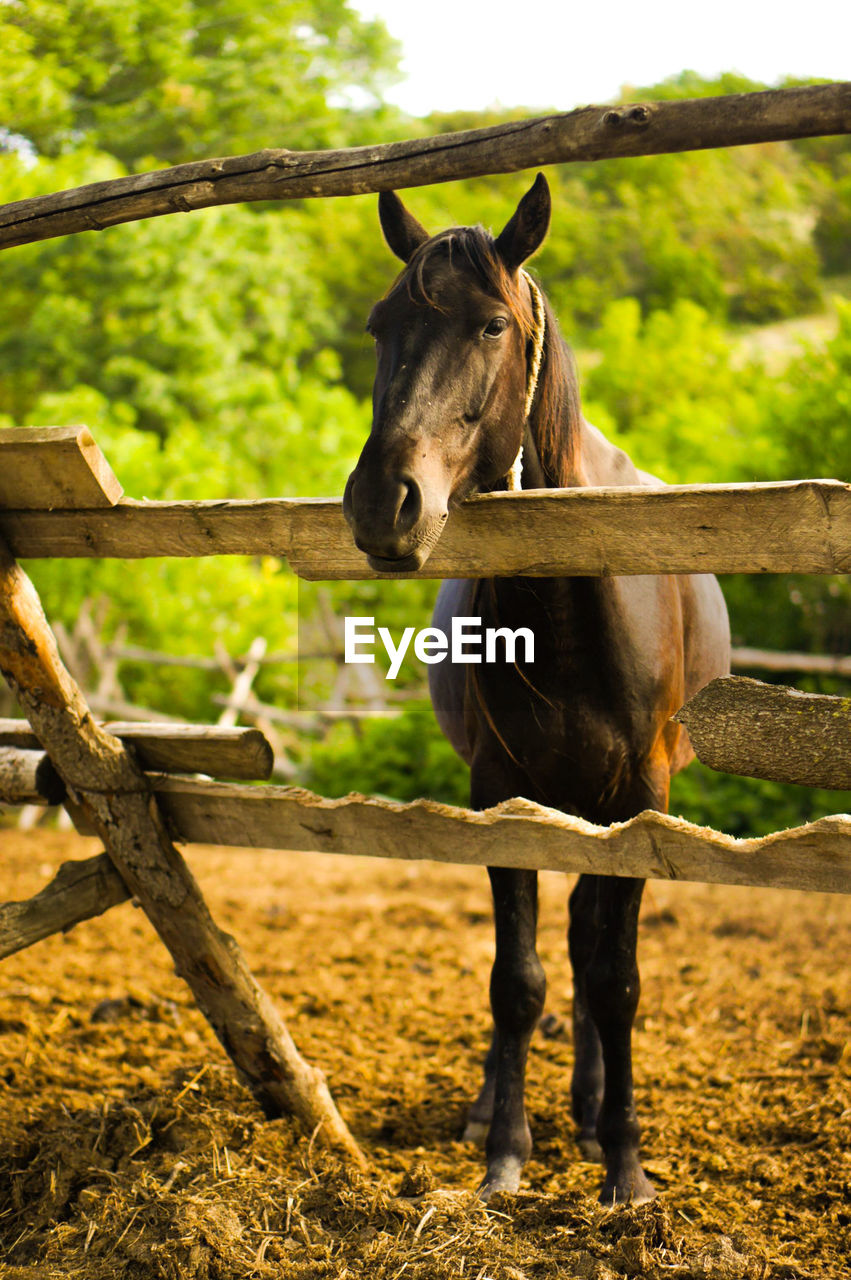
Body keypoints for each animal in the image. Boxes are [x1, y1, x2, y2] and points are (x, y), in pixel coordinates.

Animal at [342, 175, 726, 1203]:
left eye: (489, 326)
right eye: (381, 325)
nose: (382, 503)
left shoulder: (638, 800)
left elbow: (614, 979)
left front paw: (624, 1165)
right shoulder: (499, 791)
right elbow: (515, 979)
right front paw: (504, 1153)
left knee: (593, 949)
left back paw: (592, 1115)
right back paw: (495, 1111)